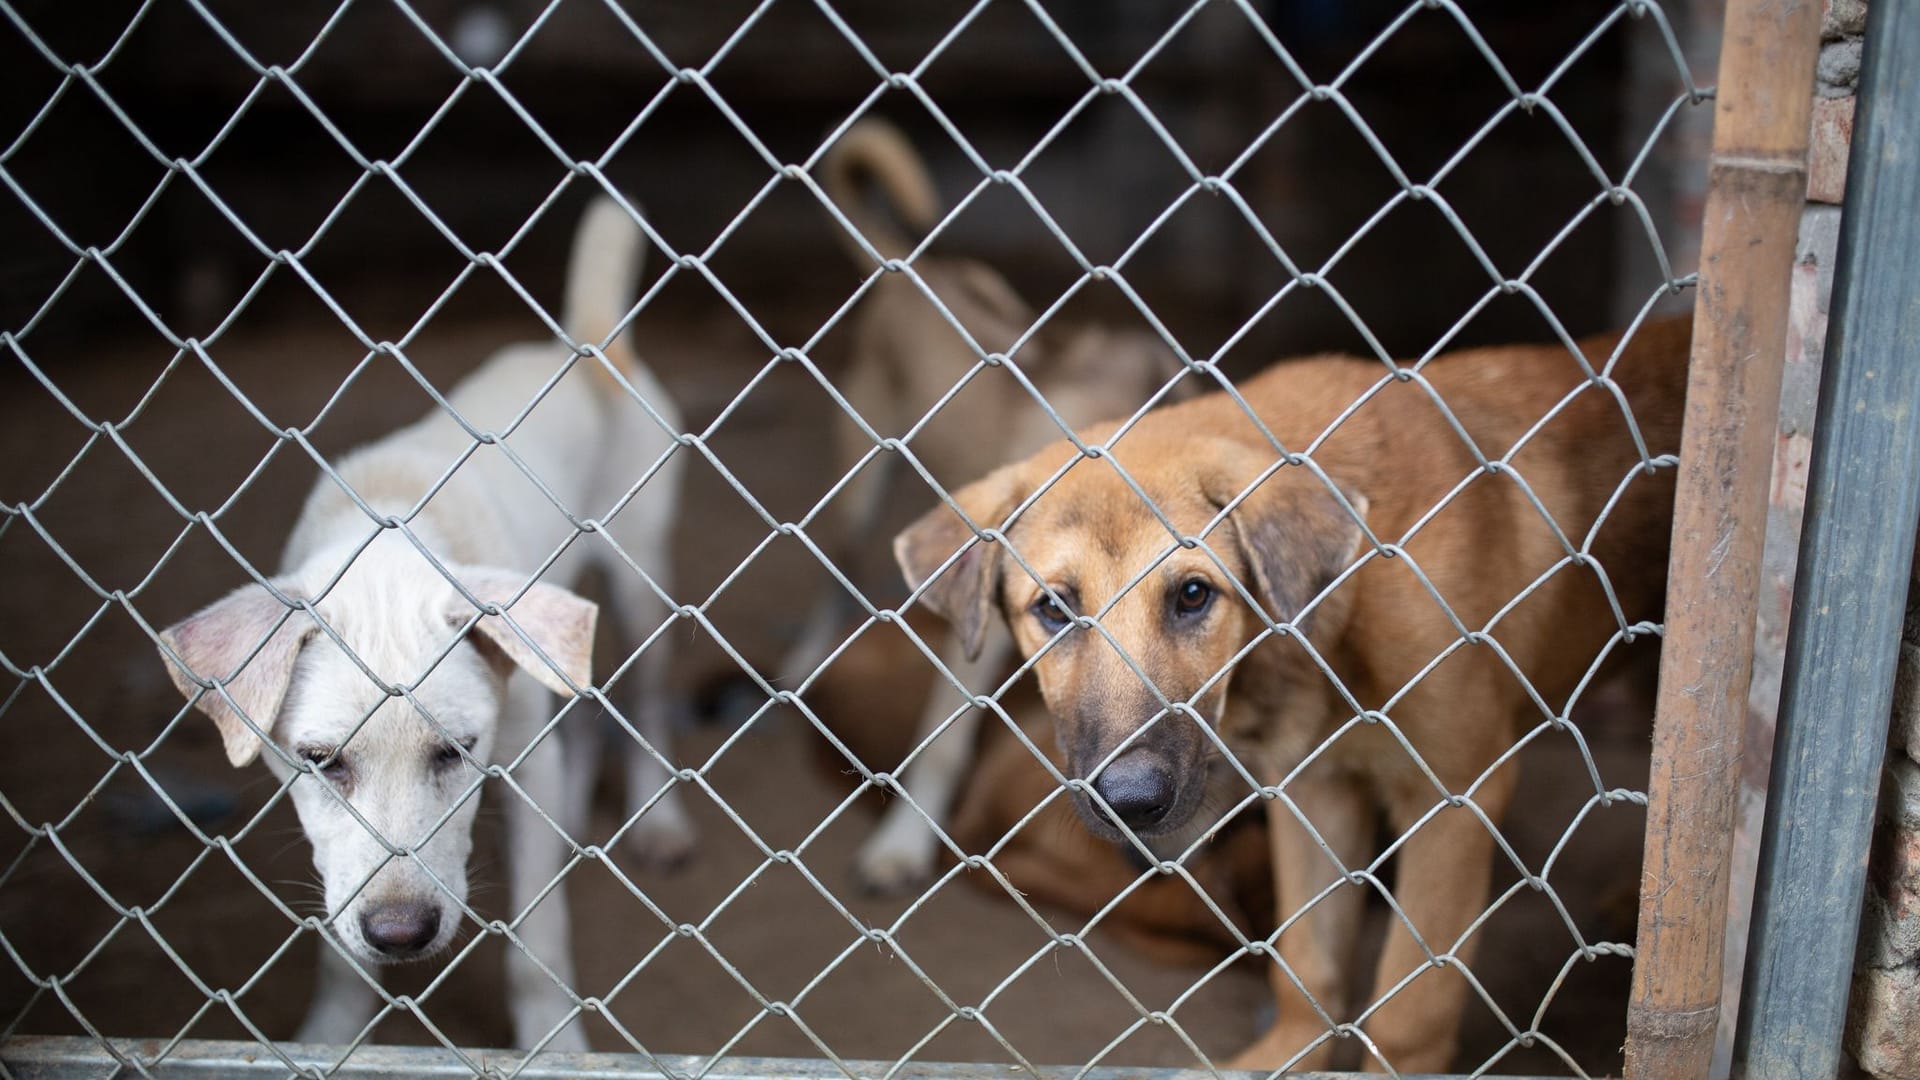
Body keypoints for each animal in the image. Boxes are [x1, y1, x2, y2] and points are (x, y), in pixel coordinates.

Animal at [155, 195, 691, 1053]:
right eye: (319, 761)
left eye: (455, 752)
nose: (401, 935)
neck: (387, 537)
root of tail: (587, 349)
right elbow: (340, 945)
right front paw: (331, 1036)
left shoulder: (520, 761)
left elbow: (539, 938)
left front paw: (555, 1047)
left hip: (643, 588)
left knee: (644, 704)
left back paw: (660, 820)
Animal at [783, 117, 1182, 891]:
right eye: (1057, 606)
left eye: (1189, 601)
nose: (1134, 806)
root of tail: (913, 267)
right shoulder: (984, 626)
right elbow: (942, 742)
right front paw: (901, 845)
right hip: (858, 483)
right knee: (833, 568)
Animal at [890, 313, 1689, 1068]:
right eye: (1053, 608)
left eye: (1192, 594)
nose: (1132, 803)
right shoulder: (1317, 788)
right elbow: (1306, 961)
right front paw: (1287, 1056)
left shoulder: (1455, 799)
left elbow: (1409, 1009)